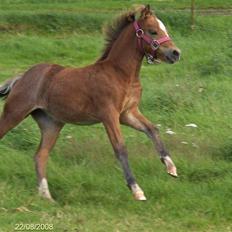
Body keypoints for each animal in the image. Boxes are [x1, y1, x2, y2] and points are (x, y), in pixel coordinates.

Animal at [0, 5, 180, 201]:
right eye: (153, 31)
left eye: (165, 29)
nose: (175, 53)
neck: (121, 74)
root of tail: (21, 78)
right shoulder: (109, 115)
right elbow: (120, 148)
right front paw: (136, 190)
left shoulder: (127, 113)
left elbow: (152, 129)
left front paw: (171, 167)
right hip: (14, 113)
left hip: (51, 124)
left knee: (40, 155)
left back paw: (47, 197)